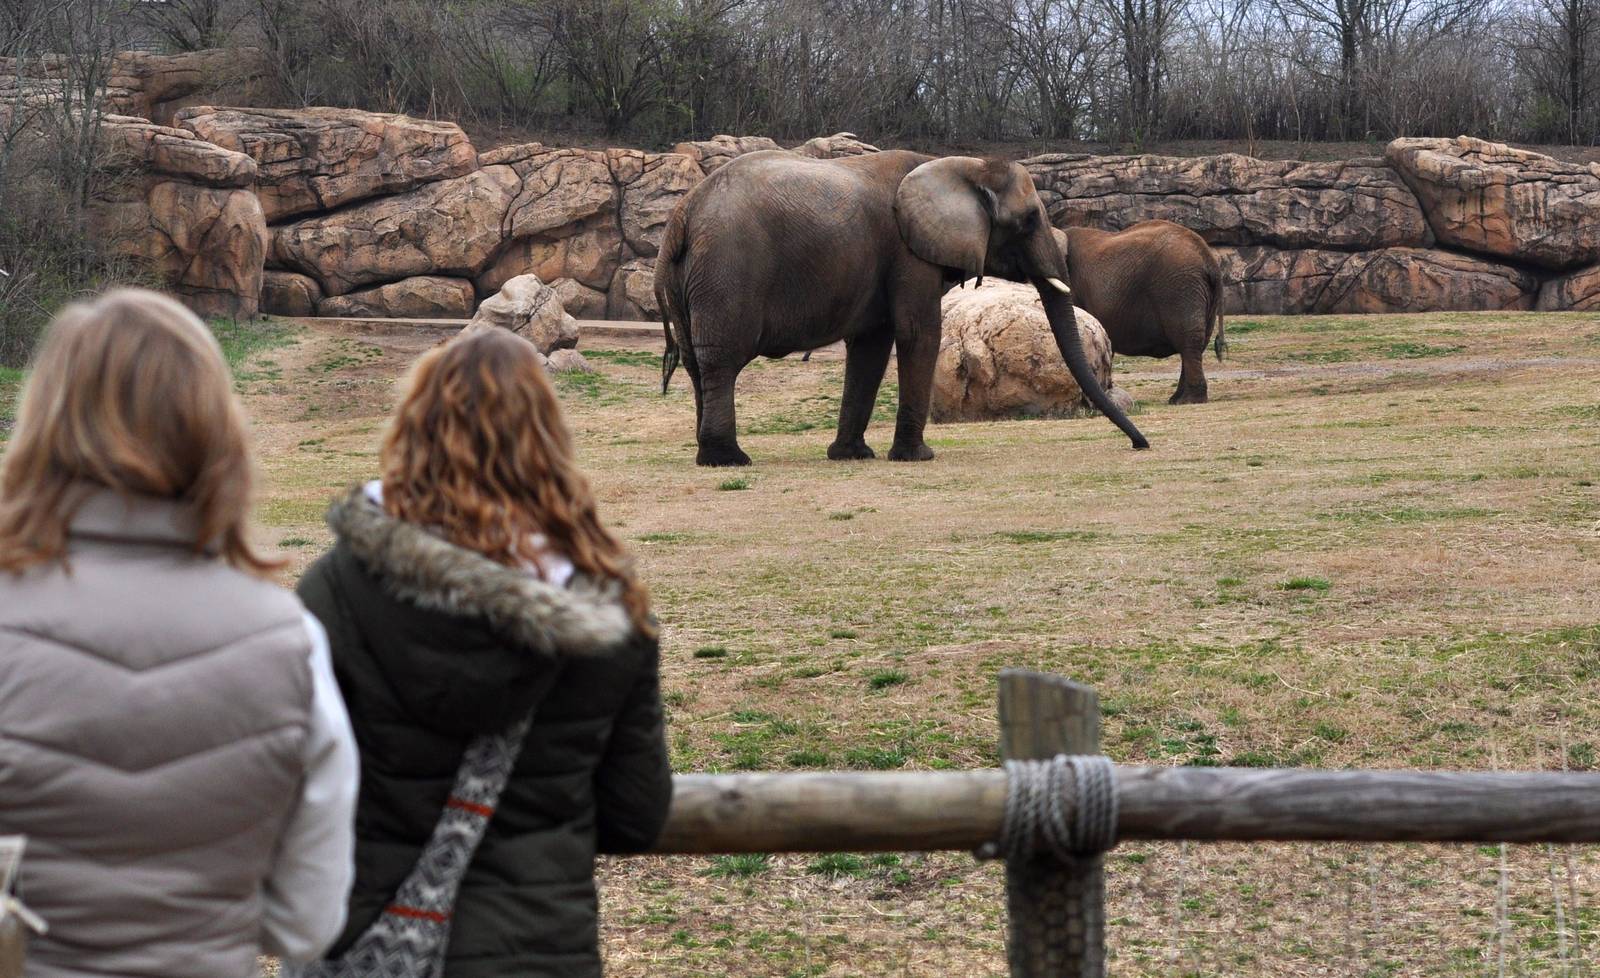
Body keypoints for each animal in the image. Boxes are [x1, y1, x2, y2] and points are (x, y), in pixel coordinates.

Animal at [654, 150, 1148, 466]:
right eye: (1028, 220)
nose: (1140, 446)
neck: (962, 165)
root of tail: (683, 215)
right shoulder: (909, 252)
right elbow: (917, 333)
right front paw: (917, 457)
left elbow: (872, 347)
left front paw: (852, 456)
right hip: (728, 270)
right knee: (721, 361)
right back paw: (729, 460)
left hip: (689, 278)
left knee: (697, 365)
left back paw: (707, 455)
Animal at [1052, 220, 1226, 405]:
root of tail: (1209, 259)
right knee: (1197, 343)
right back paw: (1176, 399)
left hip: (1180, 287)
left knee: (1188, 341)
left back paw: (1188, 401)